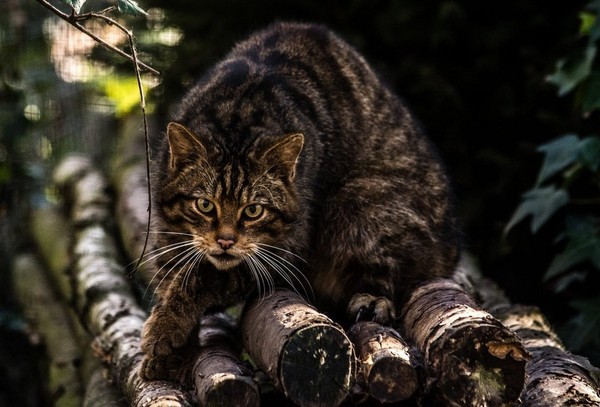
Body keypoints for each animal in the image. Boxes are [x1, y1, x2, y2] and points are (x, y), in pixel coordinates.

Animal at [141, 21, 460, 382]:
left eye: (253, 211)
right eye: (205, 205)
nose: (225, 241)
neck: (236, 120)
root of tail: (451, 250)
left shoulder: (281, 252)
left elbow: (201, 277)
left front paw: (166, 331)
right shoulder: (168, 240)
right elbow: (174, 279)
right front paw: (170, 352)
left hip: (360, 201)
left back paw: (373, 299)